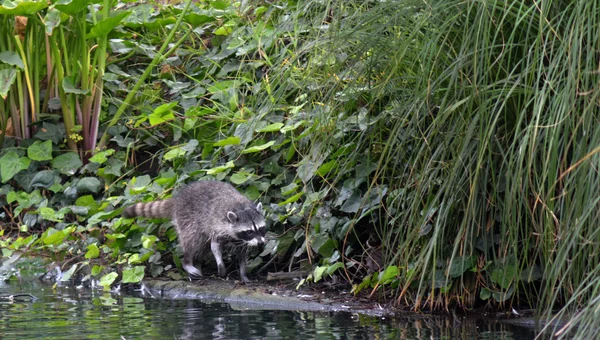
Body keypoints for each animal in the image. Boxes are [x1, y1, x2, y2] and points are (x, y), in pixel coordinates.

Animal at [123, 179, 266, 282]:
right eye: (249, 231)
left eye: (261, 229)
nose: (261, 243)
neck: (242, 209)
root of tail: (177, 199)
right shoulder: (216, 224)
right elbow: (215, 245)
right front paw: (220, 264)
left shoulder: (241, 240)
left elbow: (242, 254)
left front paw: (243, 273)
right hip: (187, 220)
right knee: (192, 241)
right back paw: (187, 262)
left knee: (202, 248)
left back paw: (197, 263)